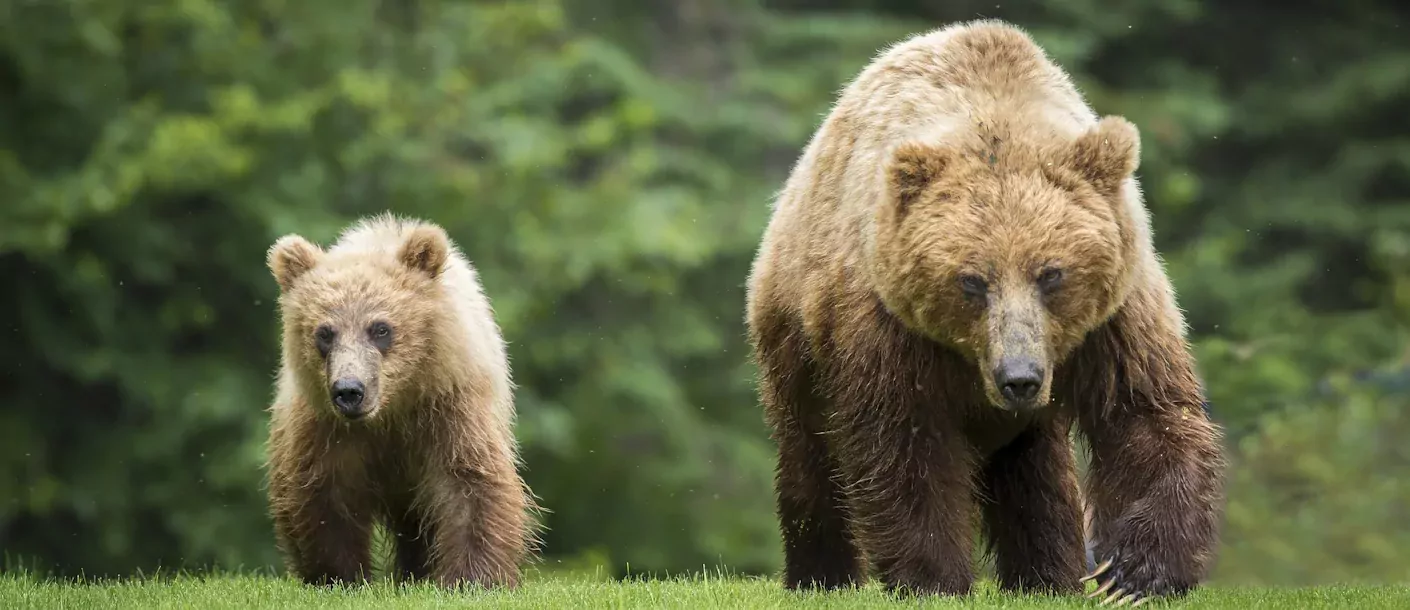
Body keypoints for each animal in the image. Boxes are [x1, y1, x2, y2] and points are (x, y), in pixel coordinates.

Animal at [262, 215, 530, 588]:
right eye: (324, 333)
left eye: (380, 328)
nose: (349, 390)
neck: (392, 407)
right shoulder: (324, 427)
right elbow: (325, 496)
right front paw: (341, 576)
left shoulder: (451, 407)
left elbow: (469, 482)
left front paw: (472, 578)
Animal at [750, 19, 1223, 602]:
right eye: (972, 280)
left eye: (1051, 273)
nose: (1018, 377)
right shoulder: (889, 330)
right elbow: (905, 447)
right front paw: (933, 579)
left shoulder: (1115, 317)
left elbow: (1144, 412)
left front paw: (1133, 574)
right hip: (797, 330)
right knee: (810, 453)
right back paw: (821, 574)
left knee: (1037, 469)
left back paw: (1048, 574)